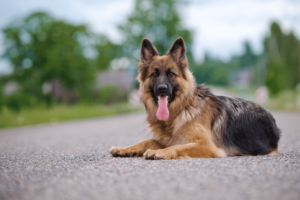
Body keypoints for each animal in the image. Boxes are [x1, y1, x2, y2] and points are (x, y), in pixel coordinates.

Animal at [110, 37, 282, 159]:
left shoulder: (205, 145)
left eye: (171, 74)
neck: (181, 110)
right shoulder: (164, 139)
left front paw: (160, 152)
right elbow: (145, 141)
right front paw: (125, 149)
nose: (162, 89)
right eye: (154, 74)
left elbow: (177, 146)